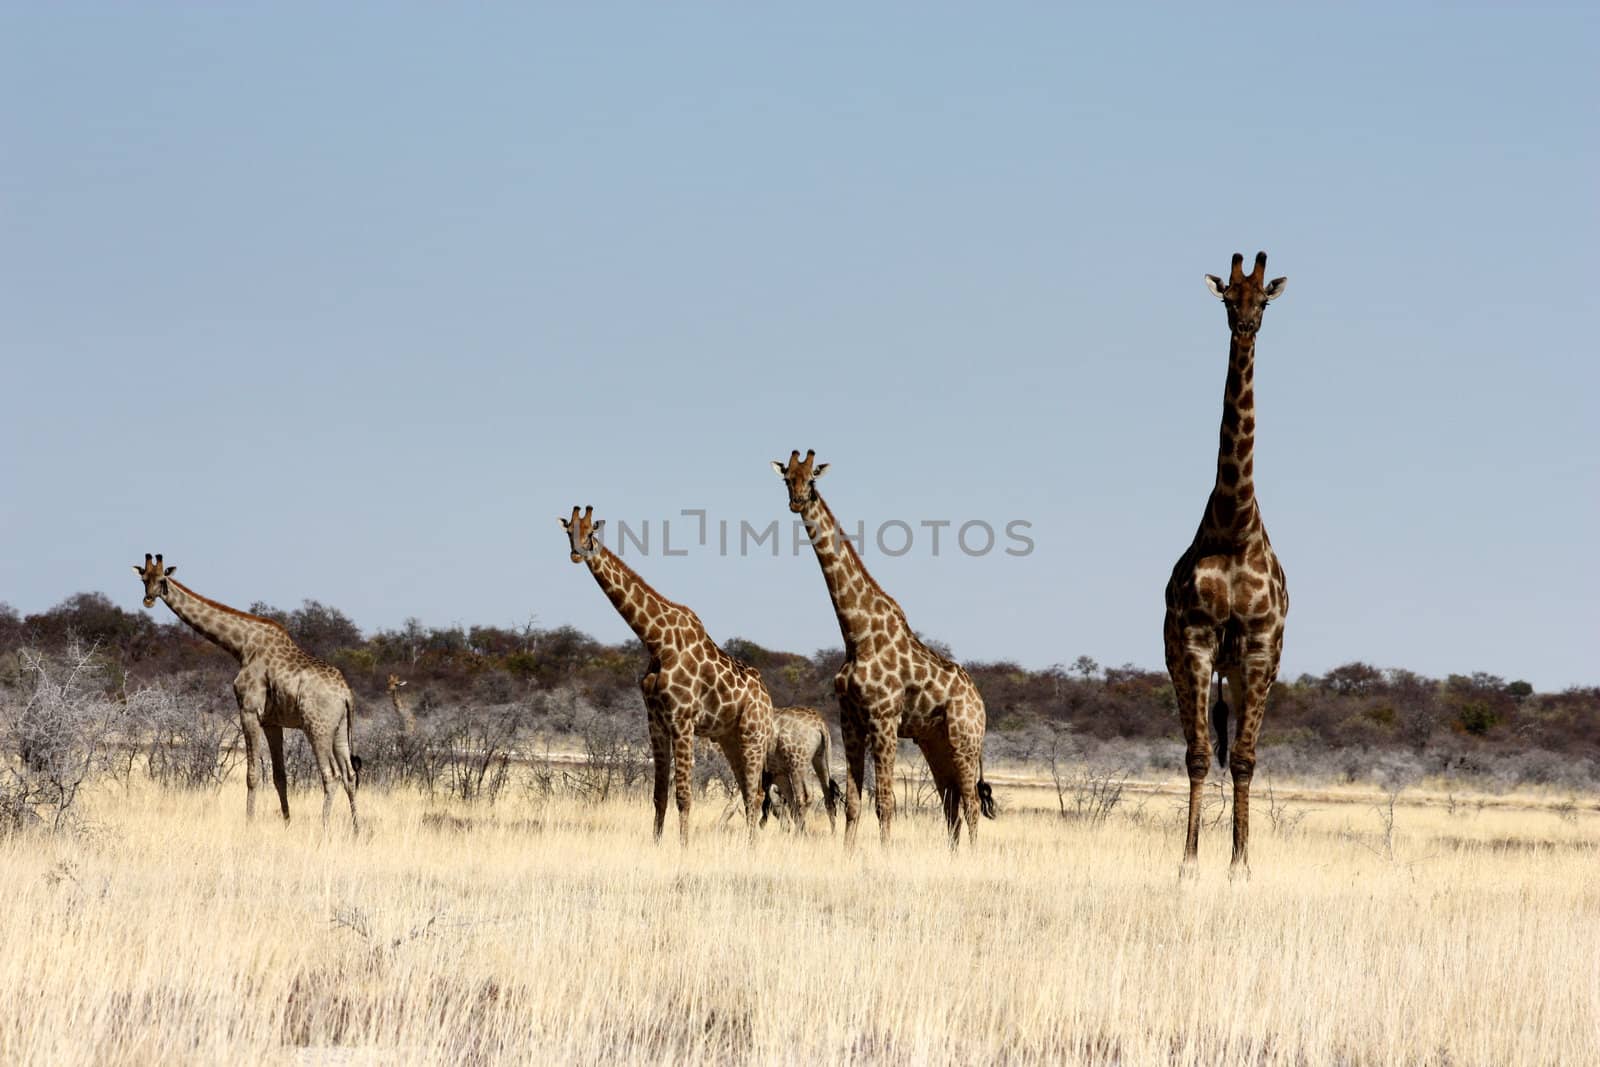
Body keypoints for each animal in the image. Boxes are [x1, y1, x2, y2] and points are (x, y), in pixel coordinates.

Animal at [132, 556, 361, 831]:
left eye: (162, 579)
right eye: (144, 579)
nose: (148, 600)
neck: (241, 646)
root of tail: (346, 694)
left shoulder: (249, 710)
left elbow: (252, 774)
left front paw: (249, 823)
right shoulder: (273, 722)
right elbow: (279, 775)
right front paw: (286, 823)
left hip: (317, 727)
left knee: (331, 775)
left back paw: (324, 828)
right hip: (339, 729)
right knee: (349, 775)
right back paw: (357, 830)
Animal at [560, 505, 777, 844]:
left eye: (591, 531)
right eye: (569, 530)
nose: (577, 553)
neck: (656, 641)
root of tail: (768, 699)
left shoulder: (683, 721)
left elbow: (684, 795)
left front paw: (684, 847)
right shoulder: (656, 723)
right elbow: (658, 795)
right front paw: (657, 844)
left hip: (753, 735)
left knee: (755, 794)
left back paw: (751, 847)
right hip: (729, 738)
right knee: (748, 792)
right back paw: (748, 845)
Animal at [771, 454, 992, 851]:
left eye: (812, 479)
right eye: (787, 479)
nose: (796, 501)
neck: (857, 635)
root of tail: (980, 703)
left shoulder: (884, 719)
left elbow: (885, 802)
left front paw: (885, 854)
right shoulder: (850, 721)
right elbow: (853, 802)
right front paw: (847, 853)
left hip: (964, 740)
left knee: (969, 804)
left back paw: (971, 856)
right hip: (935, 744)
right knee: (951, 804)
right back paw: (953, 856)